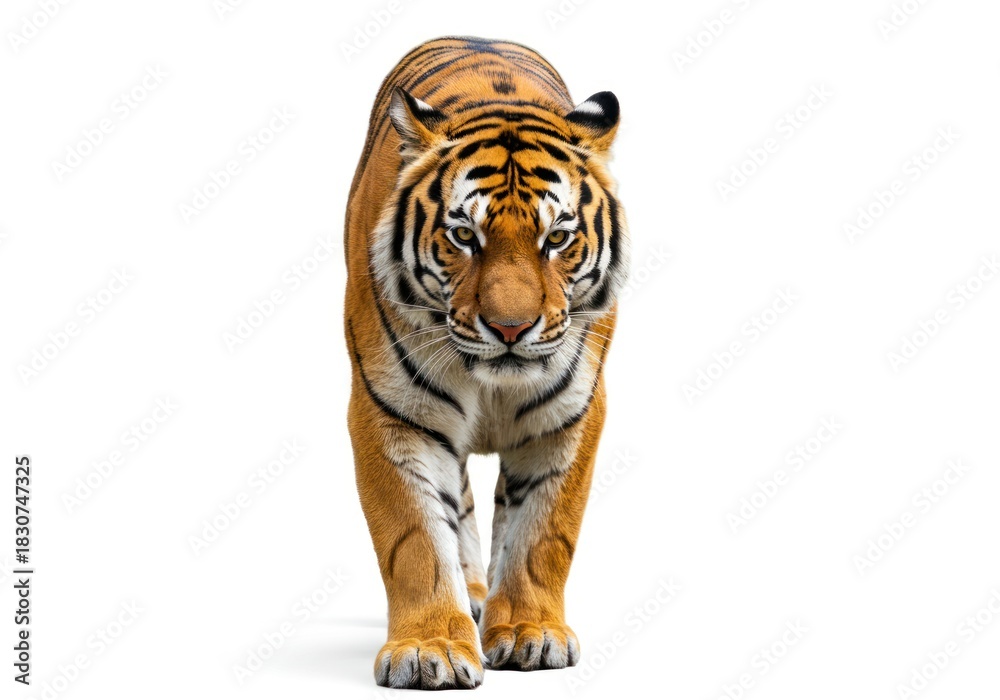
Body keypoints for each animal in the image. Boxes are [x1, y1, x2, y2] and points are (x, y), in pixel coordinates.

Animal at [343, 36, 630, 689]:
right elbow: (416, 536)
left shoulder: (569, 416)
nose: (510, 328)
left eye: (557, 239)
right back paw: (472, 595)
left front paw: (529, 633)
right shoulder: (390, 411)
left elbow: (541, 533)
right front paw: (429, 649)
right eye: (463, 237)